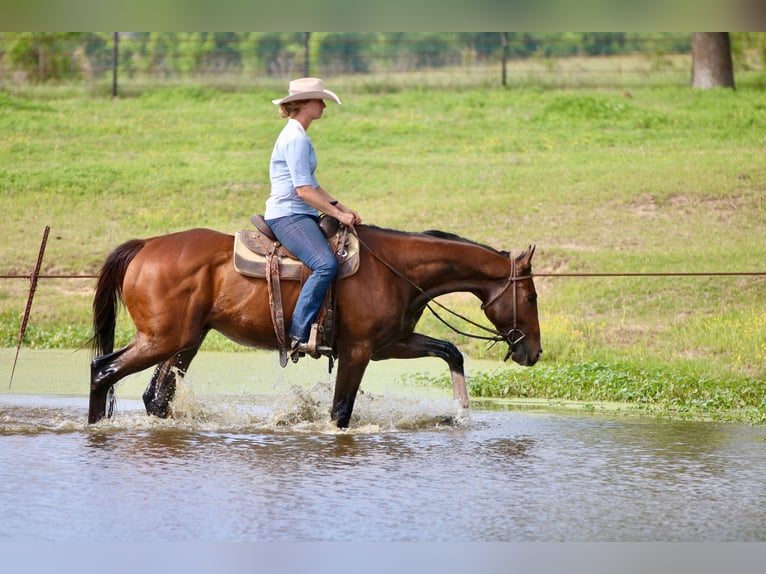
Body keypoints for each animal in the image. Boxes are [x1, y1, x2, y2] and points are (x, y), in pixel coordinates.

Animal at [88, 224, 542, 428]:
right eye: (532, 298)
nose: (533, 352)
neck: (394, 270)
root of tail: (145, 247)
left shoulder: (391, 343)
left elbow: (451, 350)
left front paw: (462, 411)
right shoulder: (358, 350)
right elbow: (340, 411)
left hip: (185, 341)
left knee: (156, 397)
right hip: (161, 339)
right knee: (102, 371)